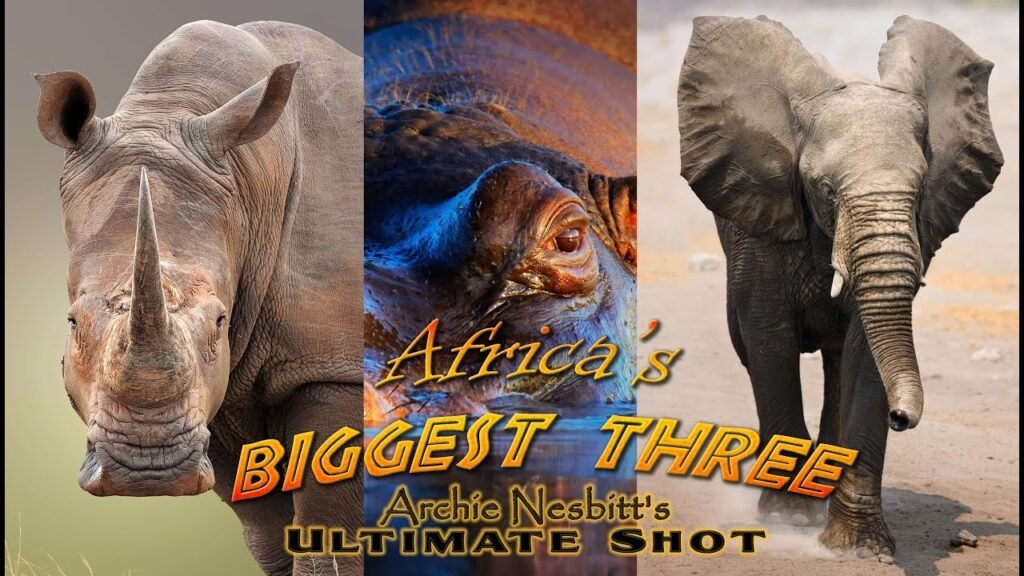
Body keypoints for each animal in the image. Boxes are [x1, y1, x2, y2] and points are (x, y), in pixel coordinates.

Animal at [36, 21, 363, 575]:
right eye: (73, 322)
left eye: (219, 320)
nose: (147, 469)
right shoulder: (221, 390)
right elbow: (270, 533)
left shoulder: (336, 365)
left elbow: (331, 534)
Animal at [677, 16, 1002, 557]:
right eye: (826, 190)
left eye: (920, 190)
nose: (901, 417)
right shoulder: (762, 227)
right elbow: (769, 341)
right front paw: (788, 516)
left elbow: (867, 351)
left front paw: (860, 547)